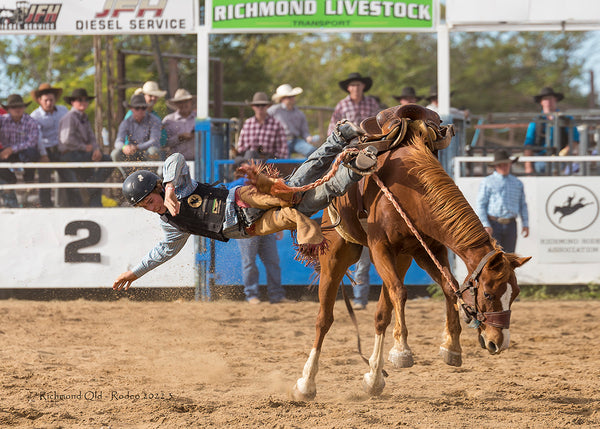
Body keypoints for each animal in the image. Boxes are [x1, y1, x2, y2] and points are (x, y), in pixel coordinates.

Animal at [290, 119, 528, 398]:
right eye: (489, 295)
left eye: (514, 294)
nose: (499, 342)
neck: (413, 188)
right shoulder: (380, 247)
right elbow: (401, 293)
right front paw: (402, 350)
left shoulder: (427, 250)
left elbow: (448, 288)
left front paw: (452, 347)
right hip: (337, 256)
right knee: (324, 319)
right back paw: (306, 383)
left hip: (400, 260)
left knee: (382, 313)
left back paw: (374, 377)